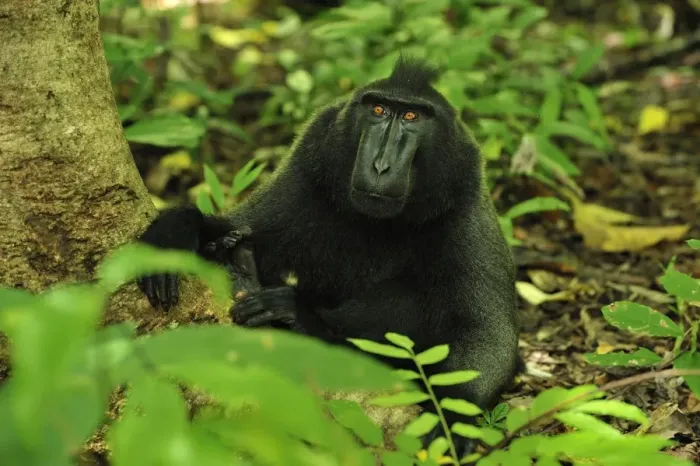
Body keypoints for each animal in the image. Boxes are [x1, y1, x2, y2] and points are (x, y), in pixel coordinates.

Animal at [136, 56, 520, 457]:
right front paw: (175, 231)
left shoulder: (464, 208)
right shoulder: (307, 169)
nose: (380, 166)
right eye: (378, 110)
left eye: (412, 116)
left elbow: (488, 333)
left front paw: (451, 420)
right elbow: (241, 223)